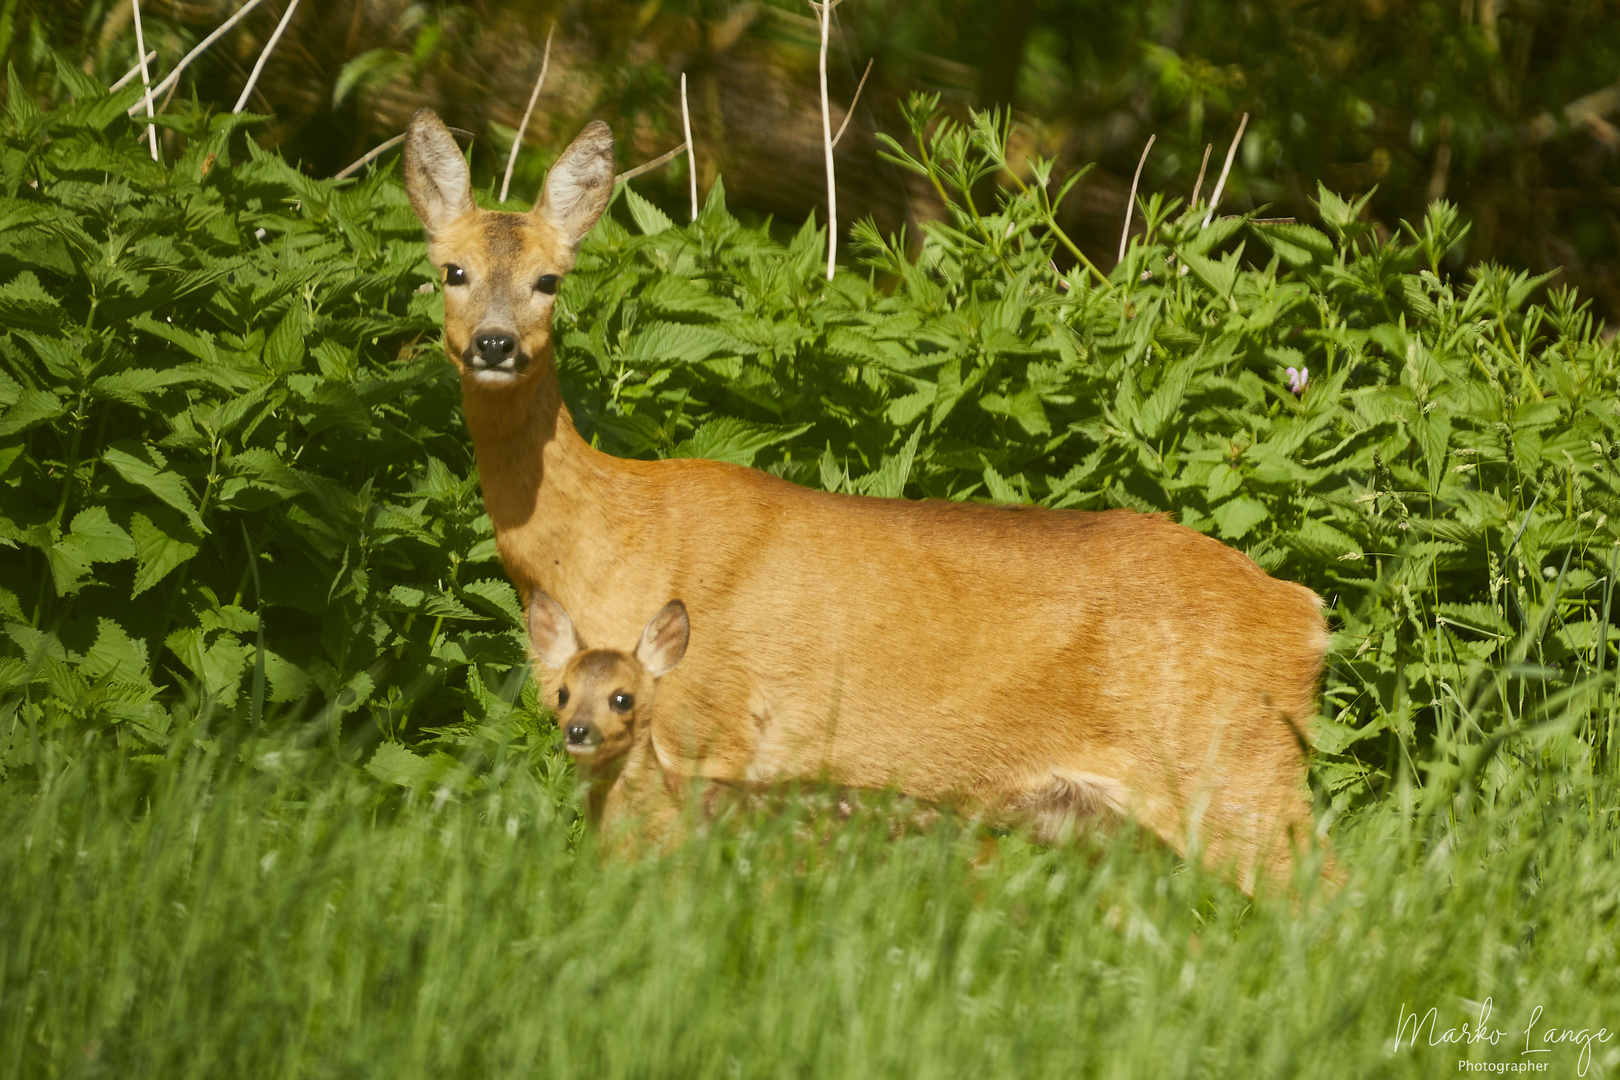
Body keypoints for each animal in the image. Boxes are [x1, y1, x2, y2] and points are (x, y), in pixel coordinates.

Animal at [401, 107, 1328, 893]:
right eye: (452, 271)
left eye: (549, 280)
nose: (495, 345)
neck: (600, 541)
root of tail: (1304, 614)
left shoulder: (708, 731)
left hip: (1234, 768)